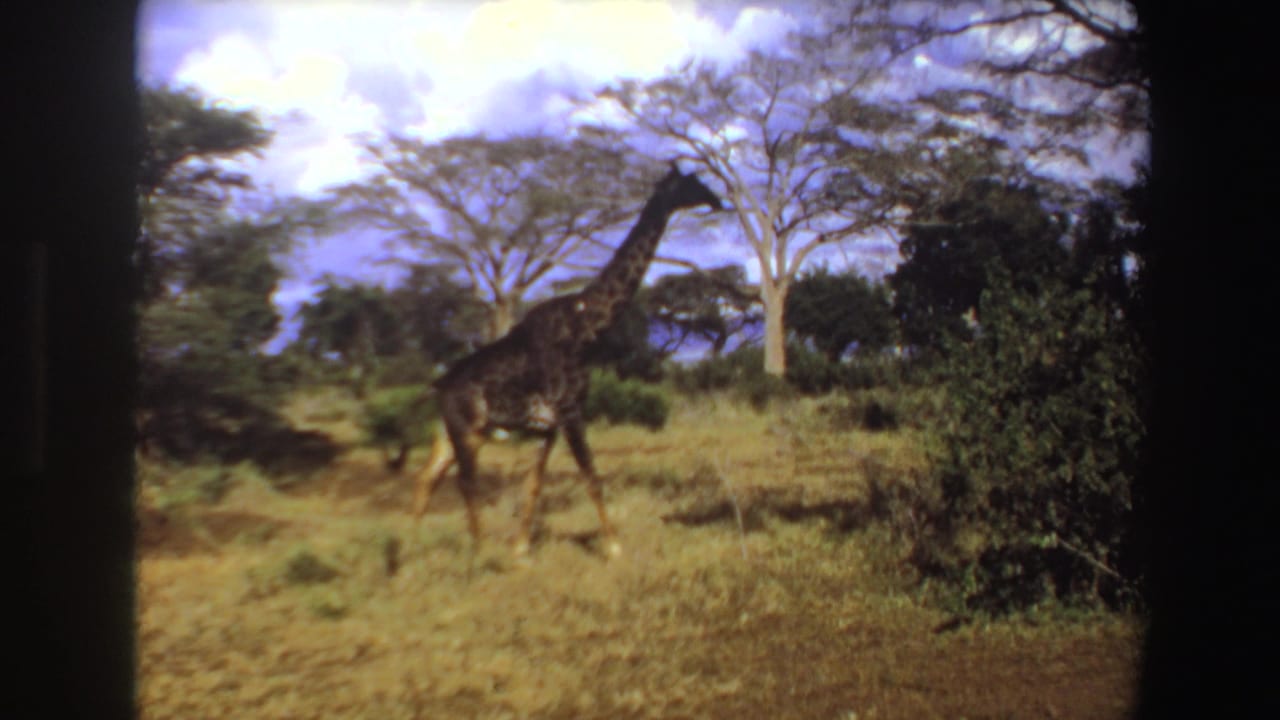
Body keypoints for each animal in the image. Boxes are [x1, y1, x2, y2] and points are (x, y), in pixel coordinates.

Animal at [411, 163, 723, 559]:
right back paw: (478, 551)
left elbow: (534, 483)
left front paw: (521, 550)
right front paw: (614, 547)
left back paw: (409, 547)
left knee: (427, 476)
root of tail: (438, 386)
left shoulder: (549, 425)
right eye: (691, 182)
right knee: (465, 481)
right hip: (469, 430)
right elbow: (592, 477)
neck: (587, 326)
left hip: (450, 430)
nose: (717, 200)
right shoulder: (572, 411)